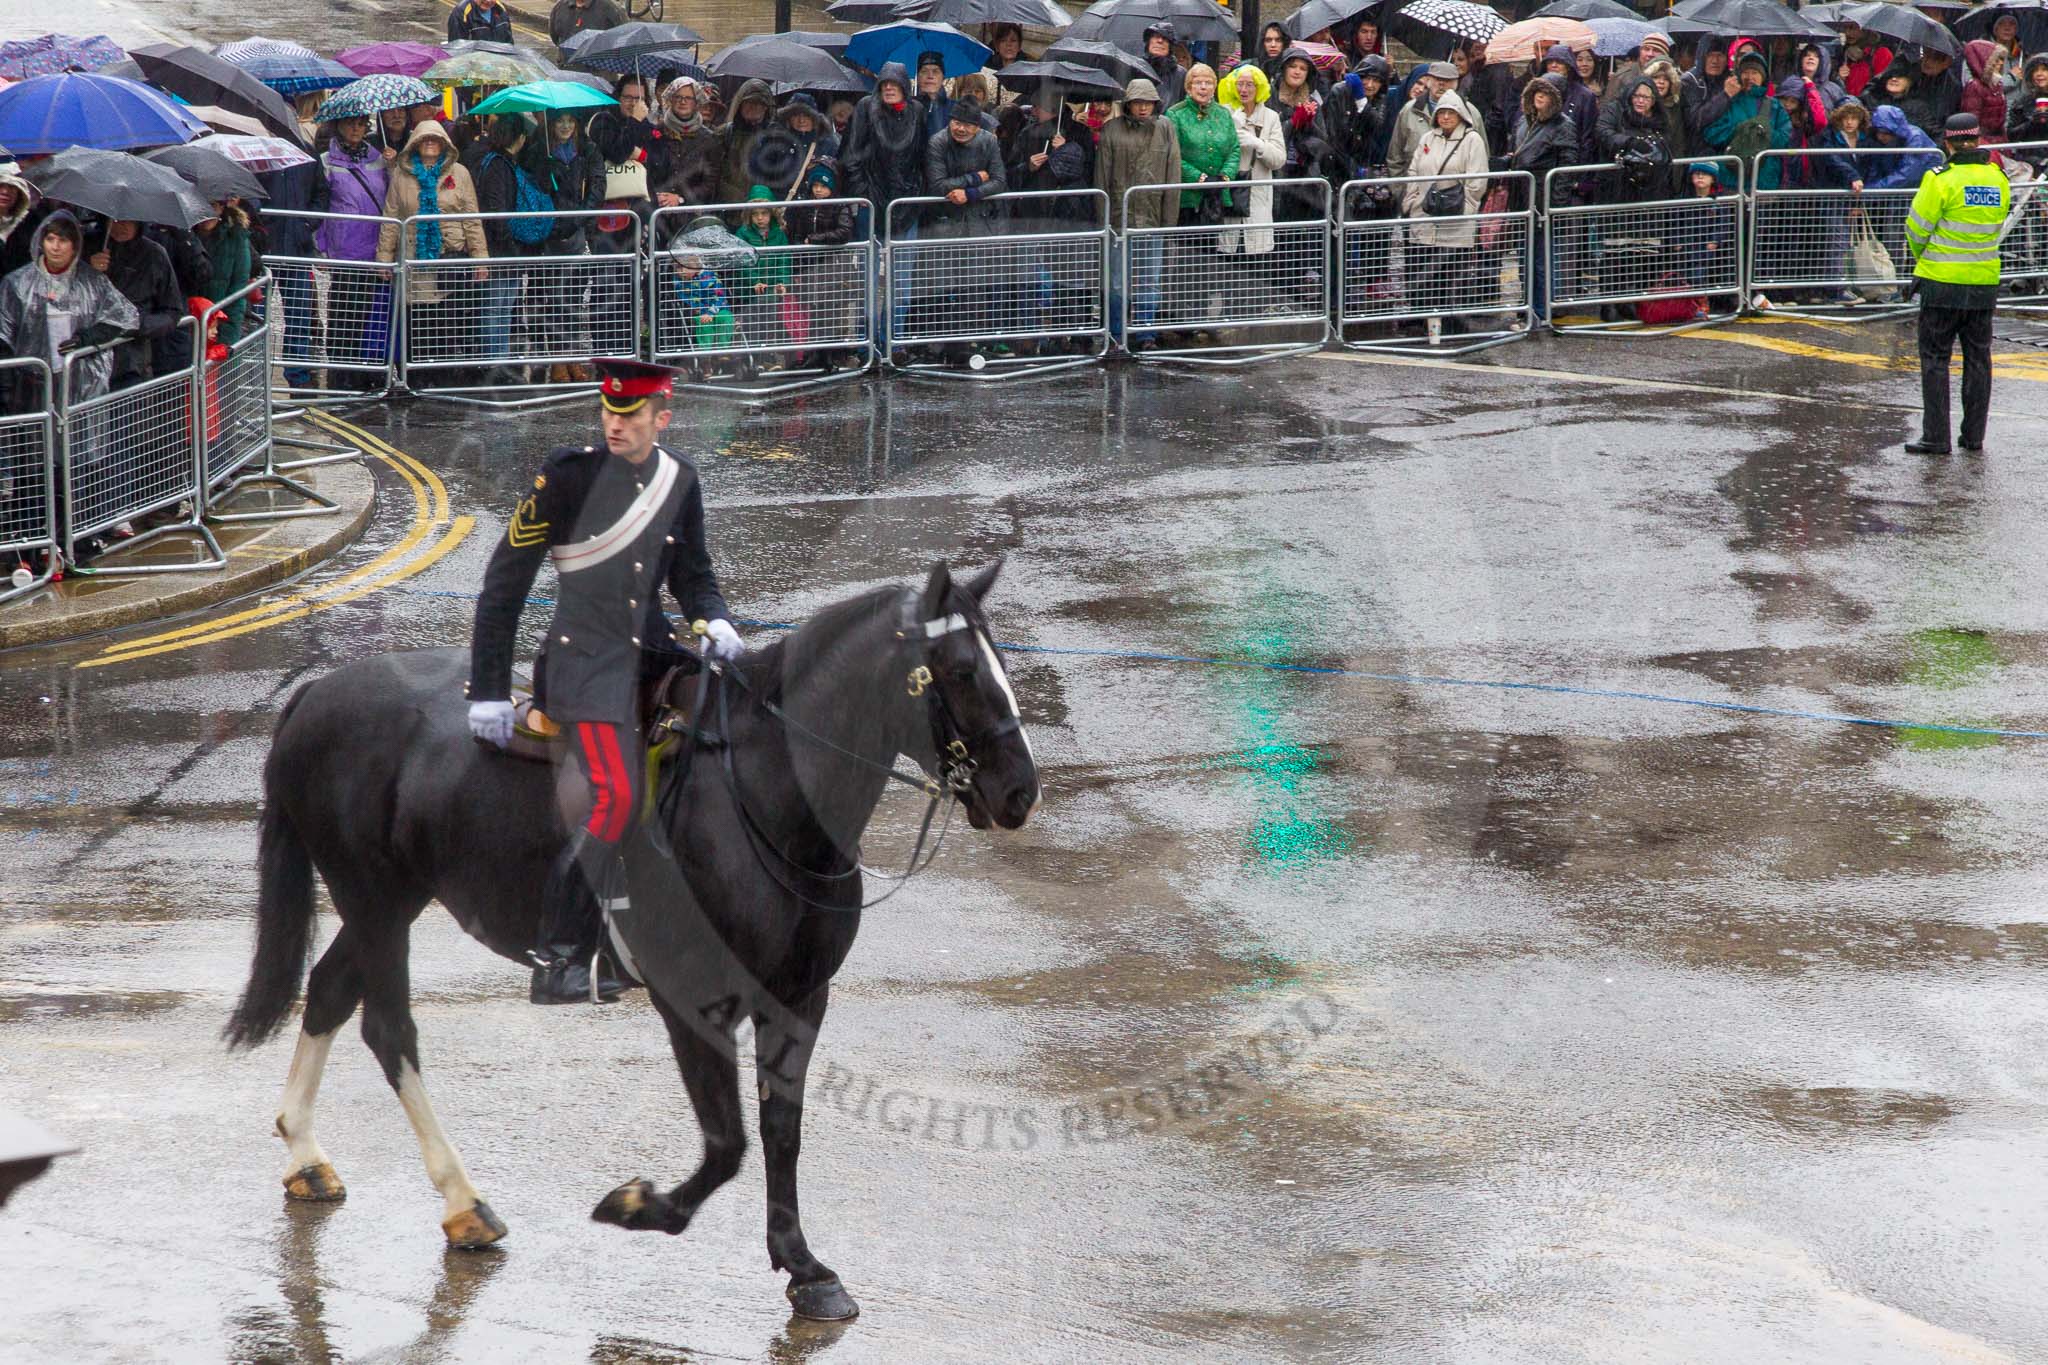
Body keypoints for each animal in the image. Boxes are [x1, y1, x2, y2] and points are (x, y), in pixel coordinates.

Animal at [224, 560, 1040, 1317]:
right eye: (962, 671)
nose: (1019, 791)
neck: (769, 796)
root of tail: (317, 692)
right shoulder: (694, 999)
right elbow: (728, 1143)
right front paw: (641, 1205)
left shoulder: (801, 995)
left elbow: (781, 1130)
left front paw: (804, 1265)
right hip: (375, 900)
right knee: (389, 1027)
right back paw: (463, 1202)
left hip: (392, 901)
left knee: (331, 989)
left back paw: (306, 1154)